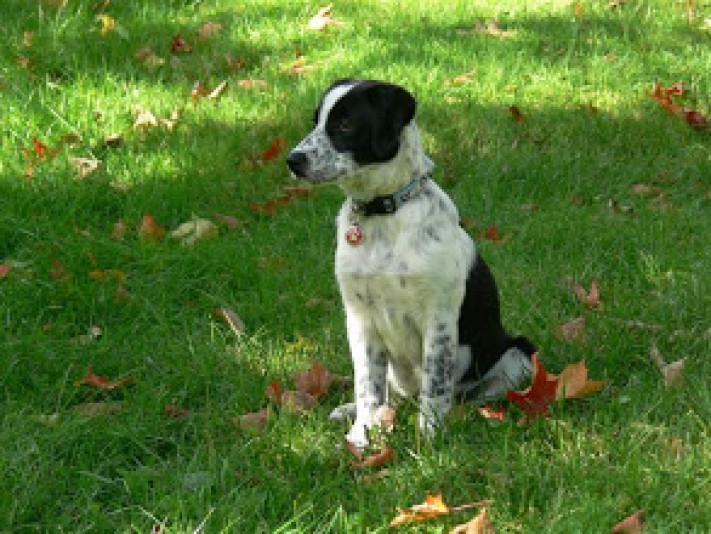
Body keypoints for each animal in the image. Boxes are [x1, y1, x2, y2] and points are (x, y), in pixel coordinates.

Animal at [286, 78, 536, 448]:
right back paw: (349, 409)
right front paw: (362, 434)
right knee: (392, 393)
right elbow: (368, 386)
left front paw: (429, 438)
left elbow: (436, 383)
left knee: (468, 393)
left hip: (519, 353)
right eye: (316, 120)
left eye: (345, 124)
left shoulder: (439, 318)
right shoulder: (360, 317)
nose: (293, 160)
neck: (381, 217)